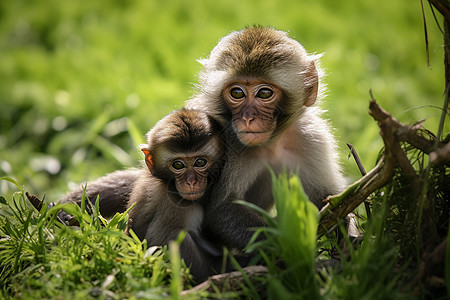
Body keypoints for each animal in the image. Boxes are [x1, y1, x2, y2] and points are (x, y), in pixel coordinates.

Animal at [185, 26, 346, 251]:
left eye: (264, 93)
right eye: (237, 93)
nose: (248, 118)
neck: (271, 144)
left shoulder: (312, 137)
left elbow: (328, 196)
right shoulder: (229, 143)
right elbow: (223, 210)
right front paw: (291, 245)